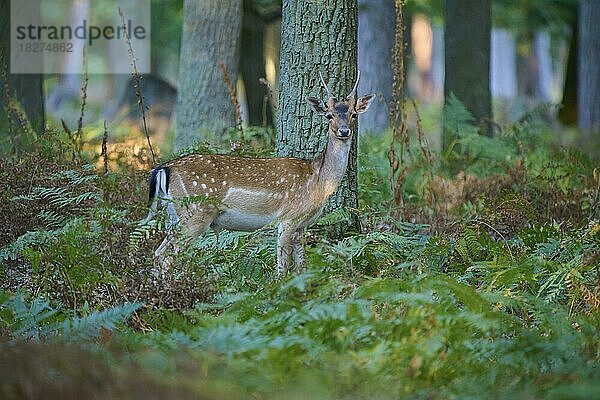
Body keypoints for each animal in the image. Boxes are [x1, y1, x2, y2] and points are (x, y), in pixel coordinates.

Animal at [143, 72, 372, 276]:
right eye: (329, 115)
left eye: (353, 114)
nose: (344, 131)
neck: (318, 181)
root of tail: (164, 168)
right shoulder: (287, 219)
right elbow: (282, 268)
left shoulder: (301, 226)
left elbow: (302, 268)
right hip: (195, 213)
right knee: (169, 257)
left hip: (175, 215)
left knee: (158, 253)